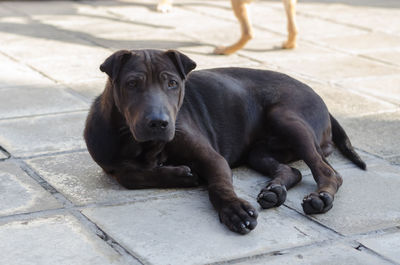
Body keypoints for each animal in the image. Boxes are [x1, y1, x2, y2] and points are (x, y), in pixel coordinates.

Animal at [84, 49, 366, 233]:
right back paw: (274, 191)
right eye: (132, 83)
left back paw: (321, 198)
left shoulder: (211, 157)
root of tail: (319, 97)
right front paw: (180, 174)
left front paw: (233, 209)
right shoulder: (112, 165)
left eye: (172, 83)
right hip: (259, 152)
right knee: (292, 170)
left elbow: (219, 185)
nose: (158, 122)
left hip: (287, 118)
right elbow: (130, 175)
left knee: (328, 172)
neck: (145, 146)